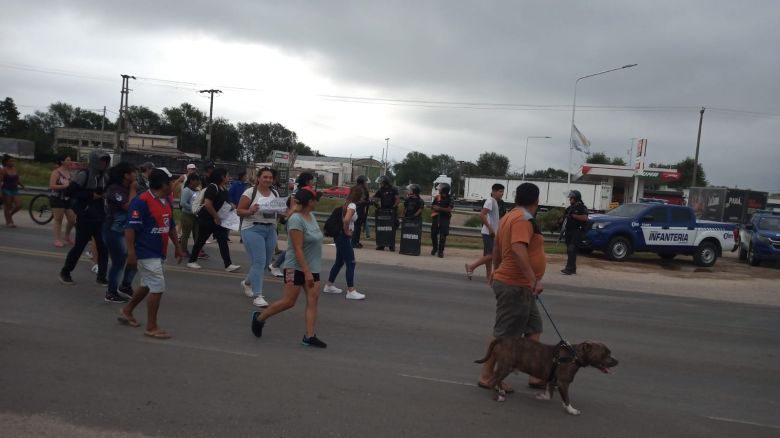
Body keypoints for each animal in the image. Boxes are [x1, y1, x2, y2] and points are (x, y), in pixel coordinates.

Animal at [472, 338, 620, 416]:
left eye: (609, 352)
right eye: (604, 354)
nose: (617, 361)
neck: (574, 356)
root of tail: (502, 340)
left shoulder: (552, 380)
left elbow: (549, 395)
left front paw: (542, 396)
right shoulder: (563, 382)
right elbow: (566, 399)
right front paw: (571, 409)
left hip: (505, 368)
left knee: (497, 380)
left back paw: (501, 390)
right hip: (505, 367)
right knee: (493, 381)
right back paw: (497, 396)